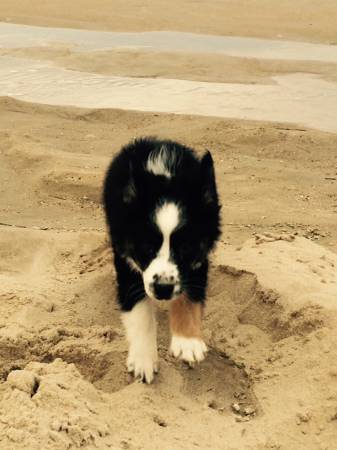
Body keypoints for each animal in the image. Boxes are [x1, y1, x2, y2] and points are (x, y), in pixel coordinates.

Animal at [103, 137, 222, 384]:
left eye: (185, 249)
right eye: (147, 249)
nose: (163, 289)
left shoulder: (199, 259)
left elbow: (189, 296)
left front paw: (187, 342)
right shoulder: (126, 259)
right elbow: (139, 310)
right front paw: (143, 360)